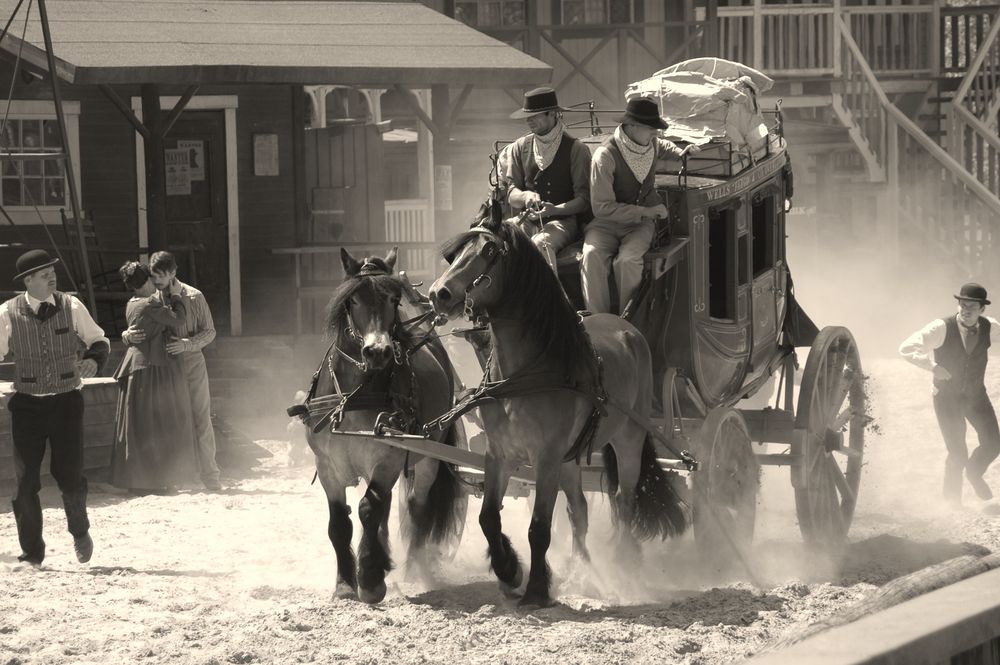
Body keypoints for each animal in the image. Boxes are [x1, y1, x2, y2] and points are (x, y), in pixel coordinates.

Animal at [300, 248, 464, 600]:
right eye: (353, 299)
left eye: (394, 298)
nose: (378, 351)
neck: (353, 395)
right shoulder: (327, 465)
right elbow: (340, 522)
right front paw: (345, 584)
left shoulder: (387, 457)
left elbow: (368, 510)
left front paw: (371, 579)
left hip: (429, 455)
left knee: (416, 506)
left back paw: (413, 568)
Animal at [426, 196, 692, 608]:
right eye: (455, 252)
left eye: (488, 252)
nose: (439, 293)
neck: (524, 375)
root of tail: (627, 328)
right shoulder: (499, 454)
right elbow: (489, 517)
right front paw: (509, 571)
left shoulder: (546, 457)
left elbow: (539, 527)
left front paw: (535, 589)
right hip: (571, 457)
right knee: (579, 509)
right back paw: (583, 571)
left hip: (628, 438)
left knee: (625, 500)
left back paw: (623, 562)